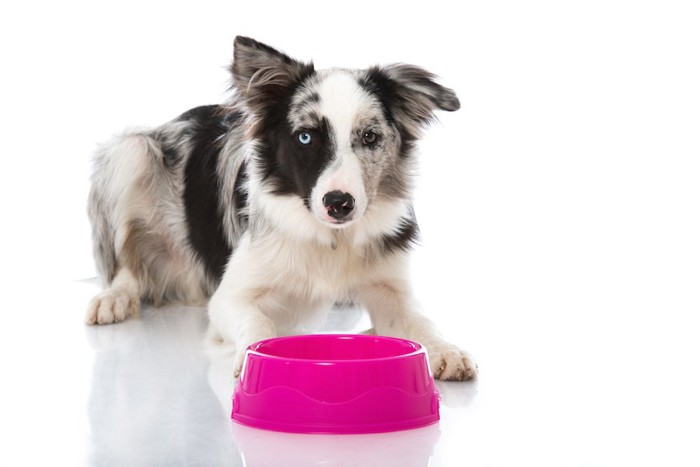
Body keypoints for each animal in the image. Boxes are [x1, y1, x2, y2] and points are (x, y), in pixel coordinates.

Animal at [86, 36, 476, 380]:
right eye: (305, 137)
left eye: (370, 137)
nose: (339, 204)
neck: (330, 238)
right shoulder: (228, 298)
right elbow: (257, 321)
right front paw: (253, 357)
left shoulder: (390, 286)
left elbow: (420, 320)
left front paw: (445, 349)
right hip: (132, 151)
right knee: (126, 266)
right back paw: (114, 298)